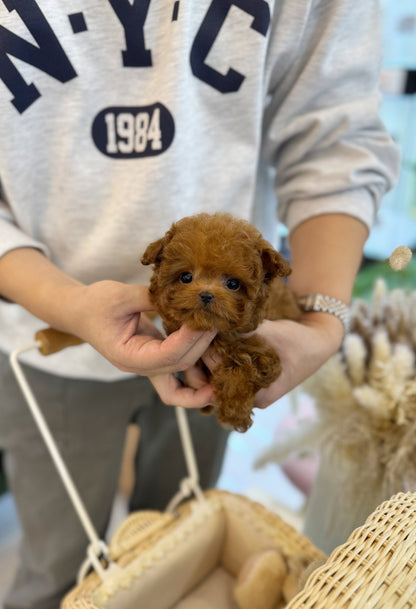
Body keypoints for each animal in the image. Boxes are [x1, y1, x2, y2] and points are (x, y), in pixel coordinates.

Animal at [141, 211, 300, 430]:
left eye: (233, 284)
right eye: (186, 277)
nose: (206, 295)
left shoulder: (265, 355)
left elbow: (243, 366)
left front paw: (235, 412)